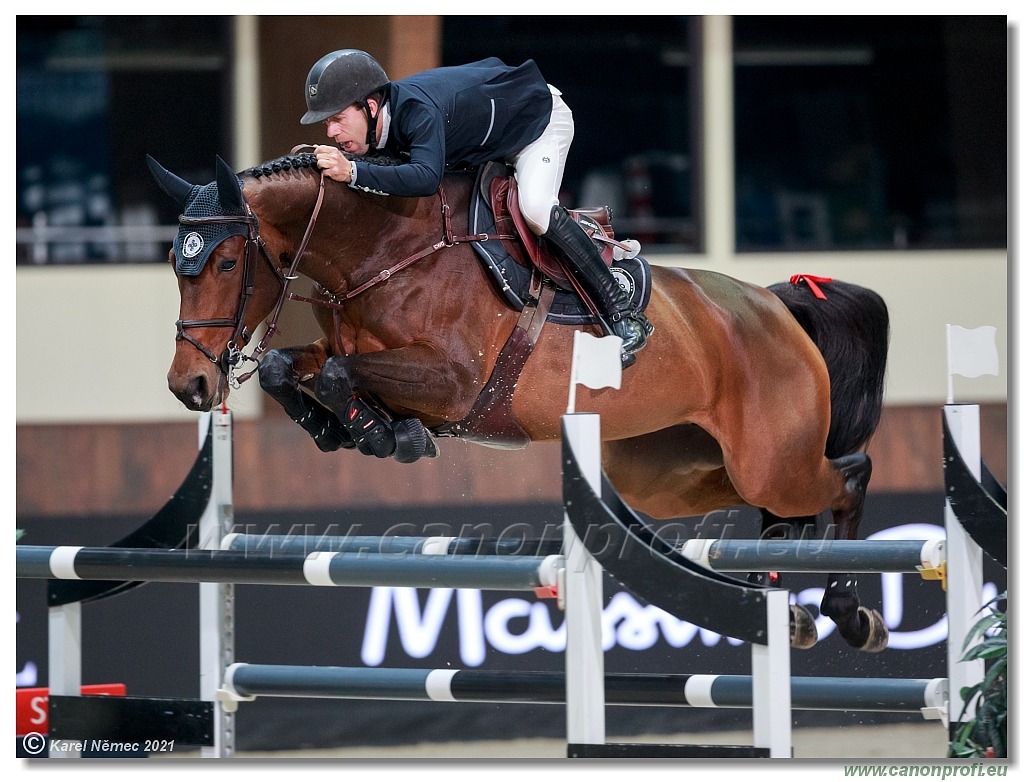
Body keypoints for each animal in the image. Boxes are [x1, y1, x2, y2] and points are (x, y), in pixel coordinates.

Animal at [148, 149, 892, 650]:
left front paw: (390, 434)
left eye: (224, 263)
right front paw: (359, 430)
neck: (386, 251)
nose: (190, 386)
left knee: (850, 474)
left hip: (772, 459)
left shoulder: (454, 382)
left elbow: (336, 376)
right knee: (777, 512)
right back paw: (787, 606)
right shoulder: (357, 354)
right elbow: (290, 366)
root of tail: (779, 303)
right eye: (175, 267)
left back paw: (850, 612)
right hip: (669, 474)